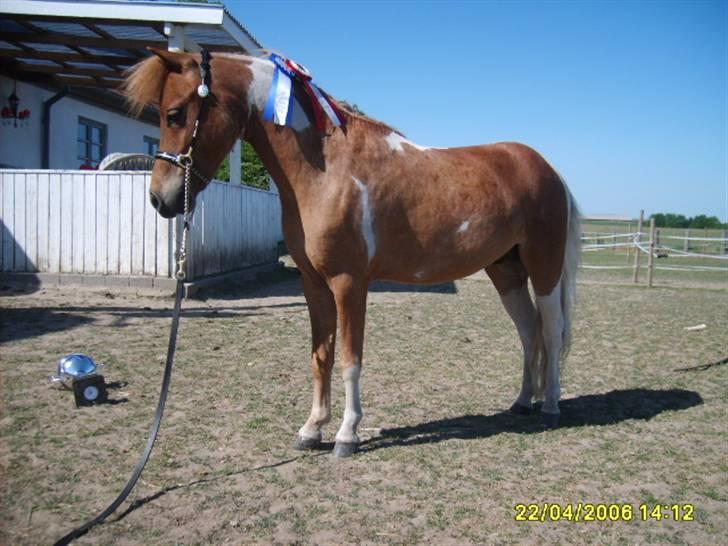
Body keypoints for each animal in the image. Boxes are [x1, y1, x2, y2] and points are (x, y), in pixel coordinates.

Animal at [123, 49, 580, 454]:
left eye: (175, 114)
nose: (160, 199)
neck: (327, 171)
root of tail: (548, 170)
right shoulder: (313, 283)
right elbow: (321, 356)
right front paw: (312, 429)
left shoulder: (349, 284)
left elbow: (349, 359)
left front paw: (347, 434)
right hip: (506, 271)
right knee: (529, 331)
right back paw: (522, 402)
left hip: (544, 268)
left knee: (551, 330)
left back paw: (551, 406)